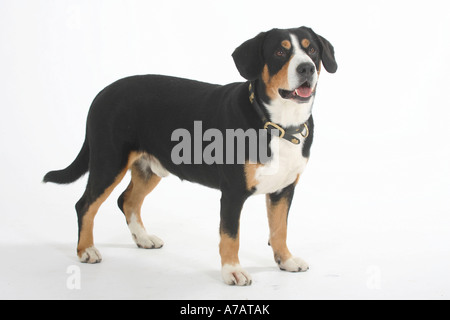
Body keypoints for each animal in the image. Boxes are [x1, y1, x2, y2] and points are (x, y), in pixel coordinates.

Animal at [44, 25, 338, 284]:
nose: (306, 68)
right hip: (109, 162)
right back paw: (86, 250)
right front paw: (232, 271)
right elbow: (230, 235)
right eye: (280, 52)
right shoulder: (233, 192)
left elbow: (279, 229)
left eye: (312, 50)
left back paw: (144, 238)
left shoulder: (283, 189)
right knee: (85, 205)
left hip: (148, 168)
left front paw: (286, 260)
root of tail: (102, 93)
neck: (278, 124)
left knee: (127, 201)